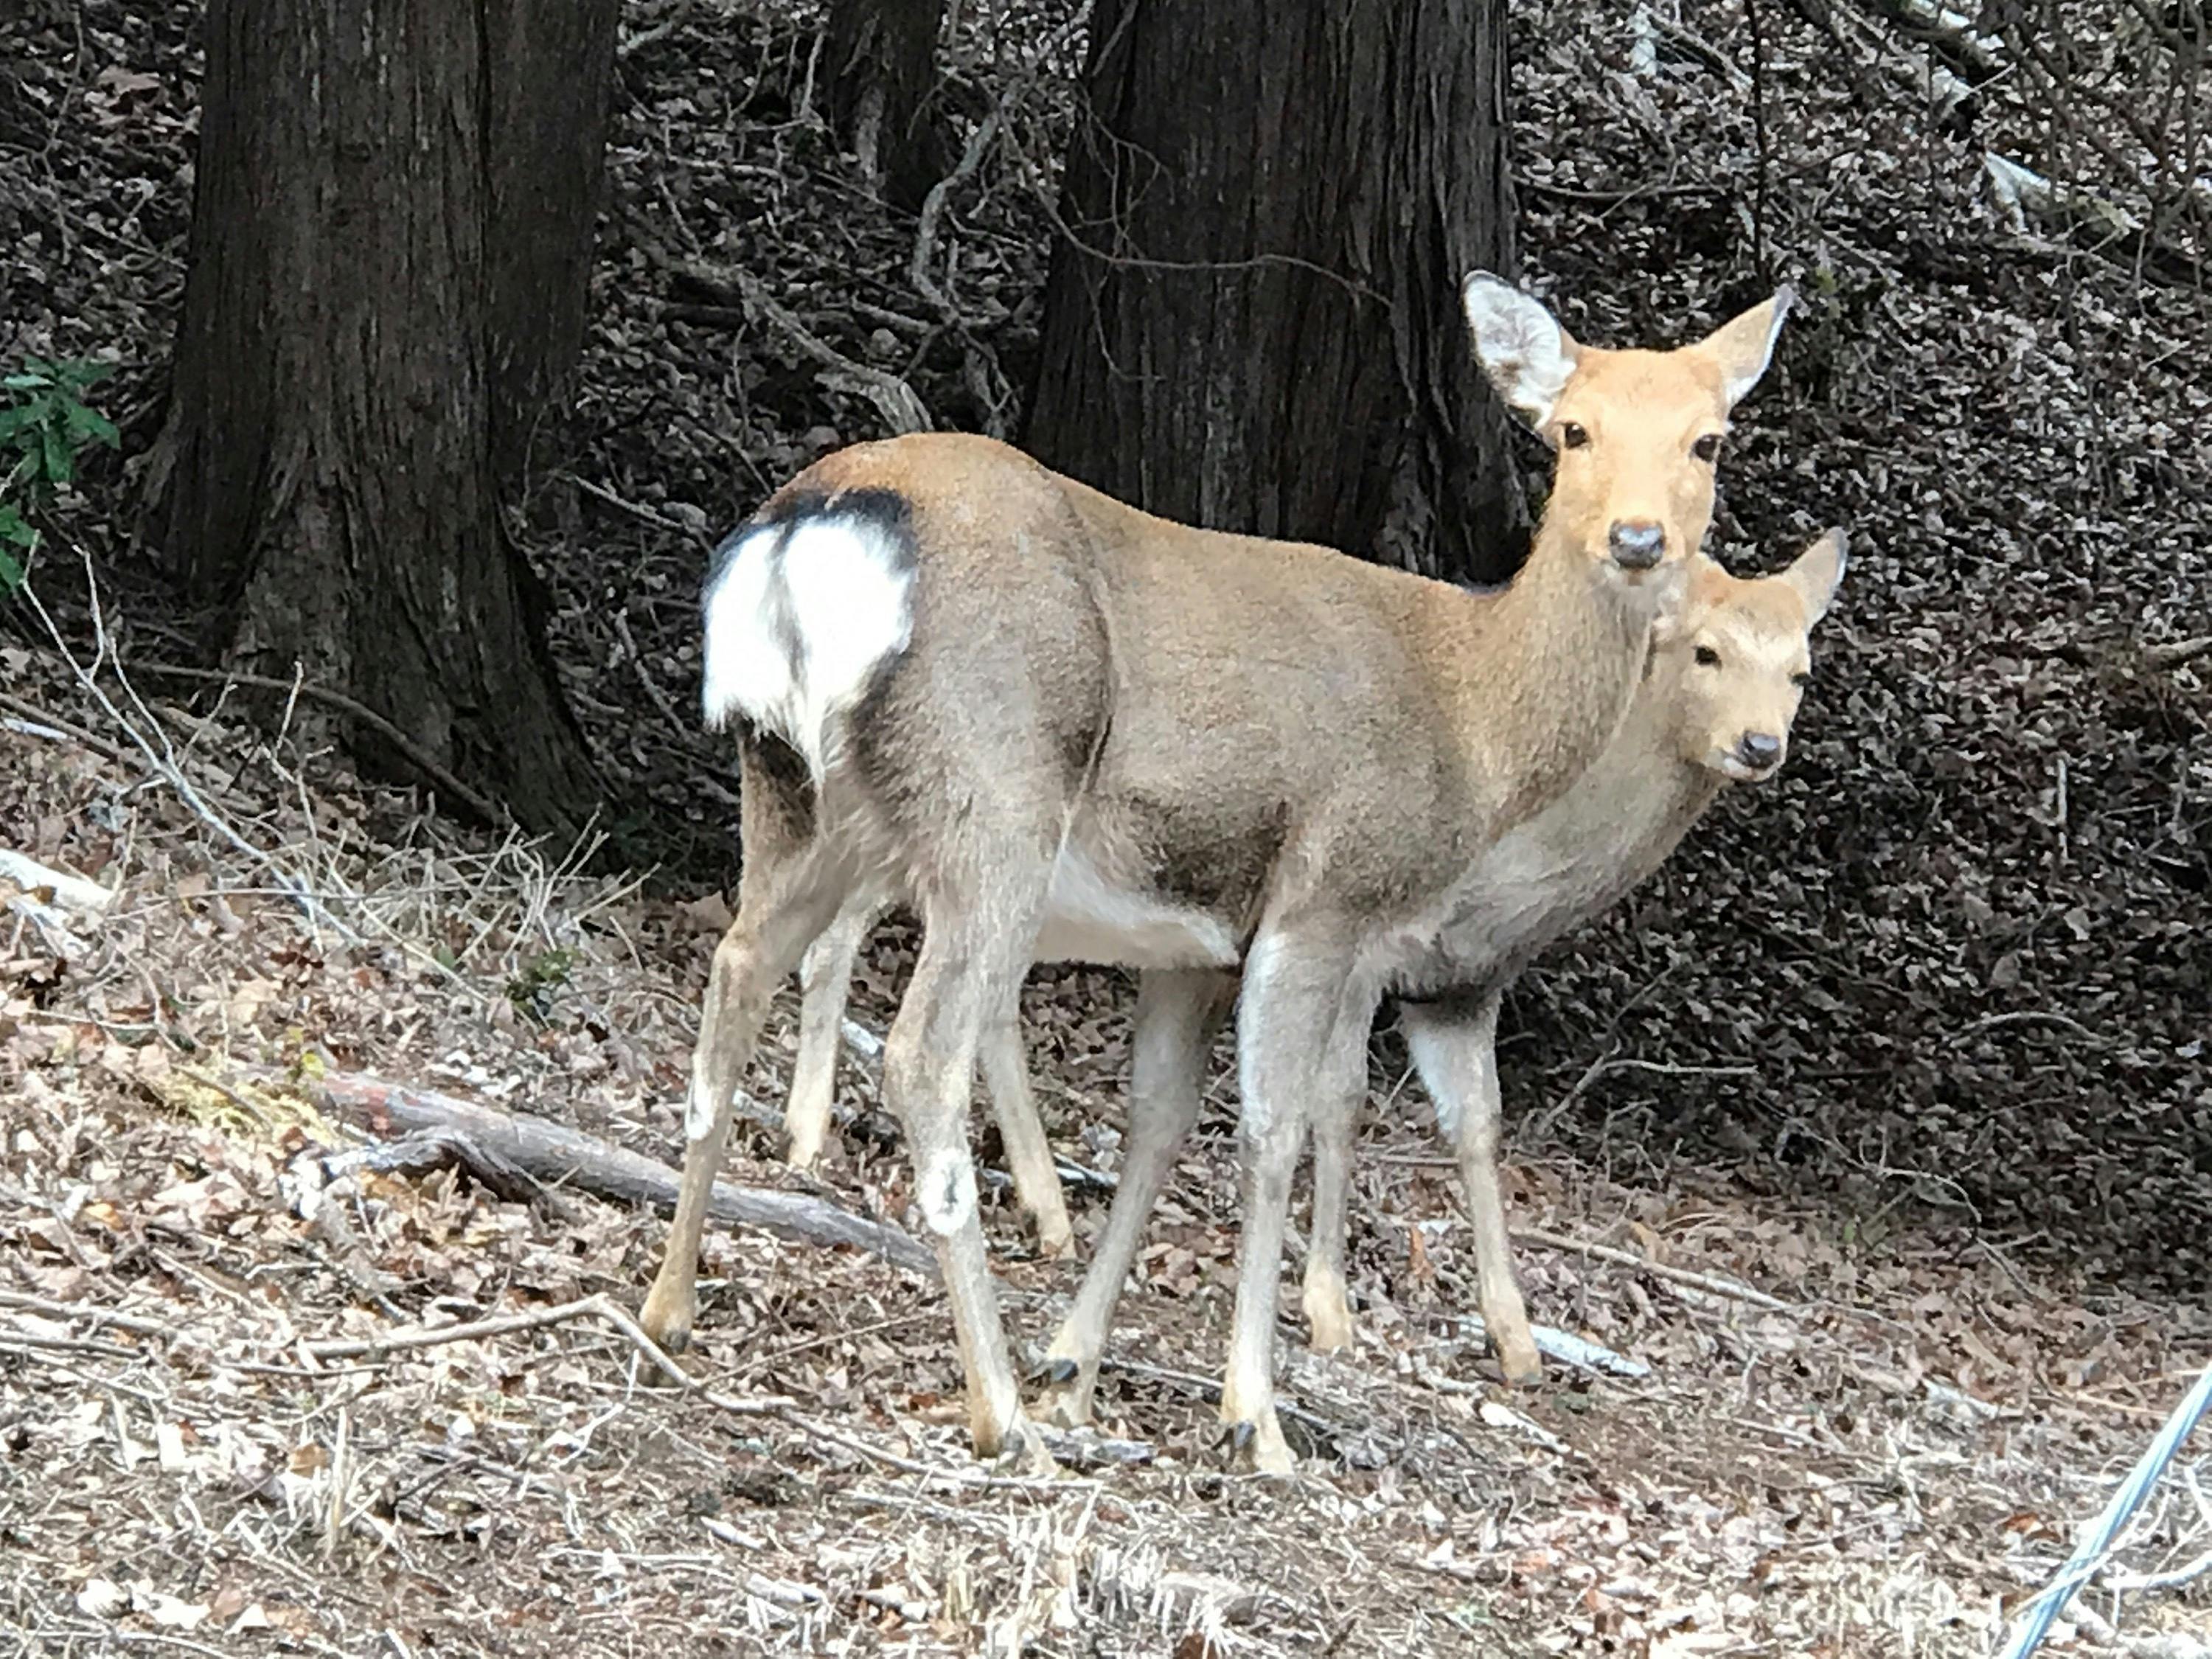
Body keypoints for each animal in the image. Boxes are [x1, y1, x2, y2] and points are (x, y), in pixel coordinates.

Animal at [1031, 533, 1849, 1442]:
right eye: (1706, 651)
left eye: (1801, 670)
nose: (1760, 744)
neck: (1509, 879)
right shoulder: (1362, 944)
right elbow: (1341, 1101)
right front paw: (1327, 1308)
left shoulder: (1462, 986)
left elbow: (1479, 1124)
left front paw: (1517, 1339)